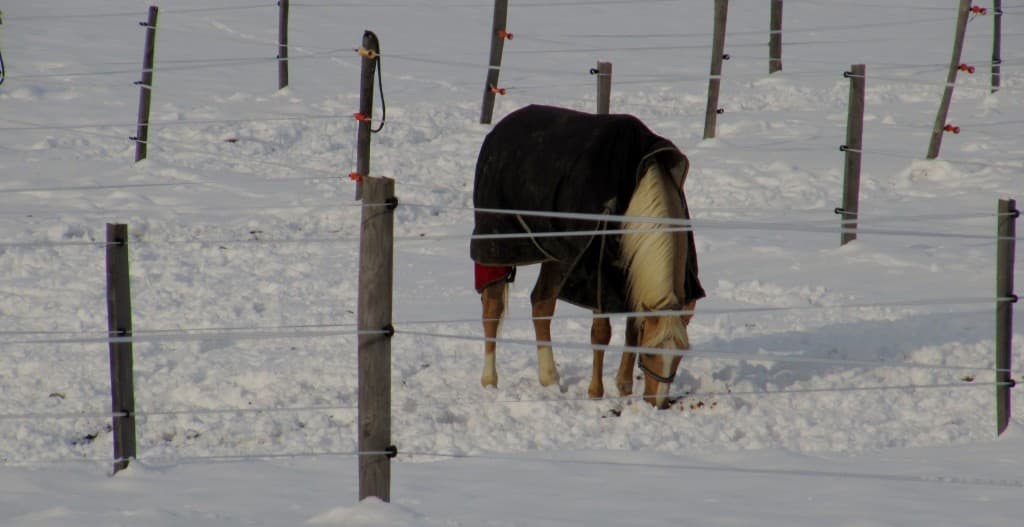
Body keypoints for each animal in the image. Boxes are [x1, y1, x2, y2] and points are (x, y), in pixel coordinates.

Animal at [470, 105, 705, 408]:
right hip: (497, 247)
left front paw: (624, 387)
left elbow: (631, 328)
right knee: (493, 309)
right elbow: (601, 333)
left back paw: (550, 378)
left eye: (679, 355)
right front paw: (596, 392)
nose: (657, 404)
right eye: (651, 352)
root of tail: (500, 127)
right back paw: (490, 380)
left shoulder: (628, 272)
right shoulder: (598, 271)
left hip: (557, 255)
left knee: (541, 304)